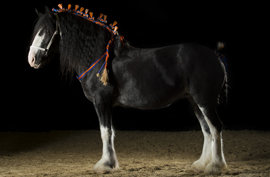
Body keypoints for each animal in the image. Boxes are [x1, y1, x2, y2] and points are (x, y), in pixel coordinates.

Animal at [28, 5, 228, 176]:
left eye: (45, 31)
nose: (32, 59)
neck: (98, 58)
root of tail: (215, 55)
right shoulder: (106, 104)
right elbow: (109, 132)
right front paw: (110, 163)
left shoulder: (102, 102)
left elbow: (105, 132)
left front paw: (105, 165)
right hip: (194, 101)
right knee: (206, 129)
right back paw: (201, 164)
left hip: (205, 101)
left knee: (216, 127)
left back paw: (215, 166)